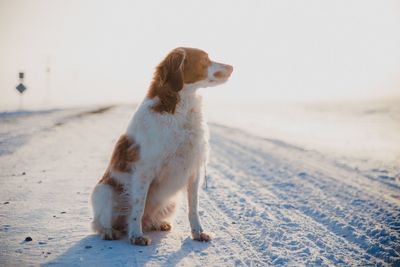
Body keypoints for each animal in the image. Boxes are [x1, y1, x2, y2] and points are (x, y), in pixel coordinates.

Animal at [90, 47, 234, 246]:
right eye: (205, 60)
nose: (232, 67)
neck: (179, 107)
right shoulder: (143, 170)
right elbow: (137, 206)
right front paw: (136, 236)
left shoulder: (193, 169)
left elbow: (194, 207)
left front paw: (198, 232)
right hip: (104, 190)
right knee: (100, 223)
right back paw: (110, 231)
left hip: (171, 202)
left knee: (149, 218)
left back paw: (157, 223)